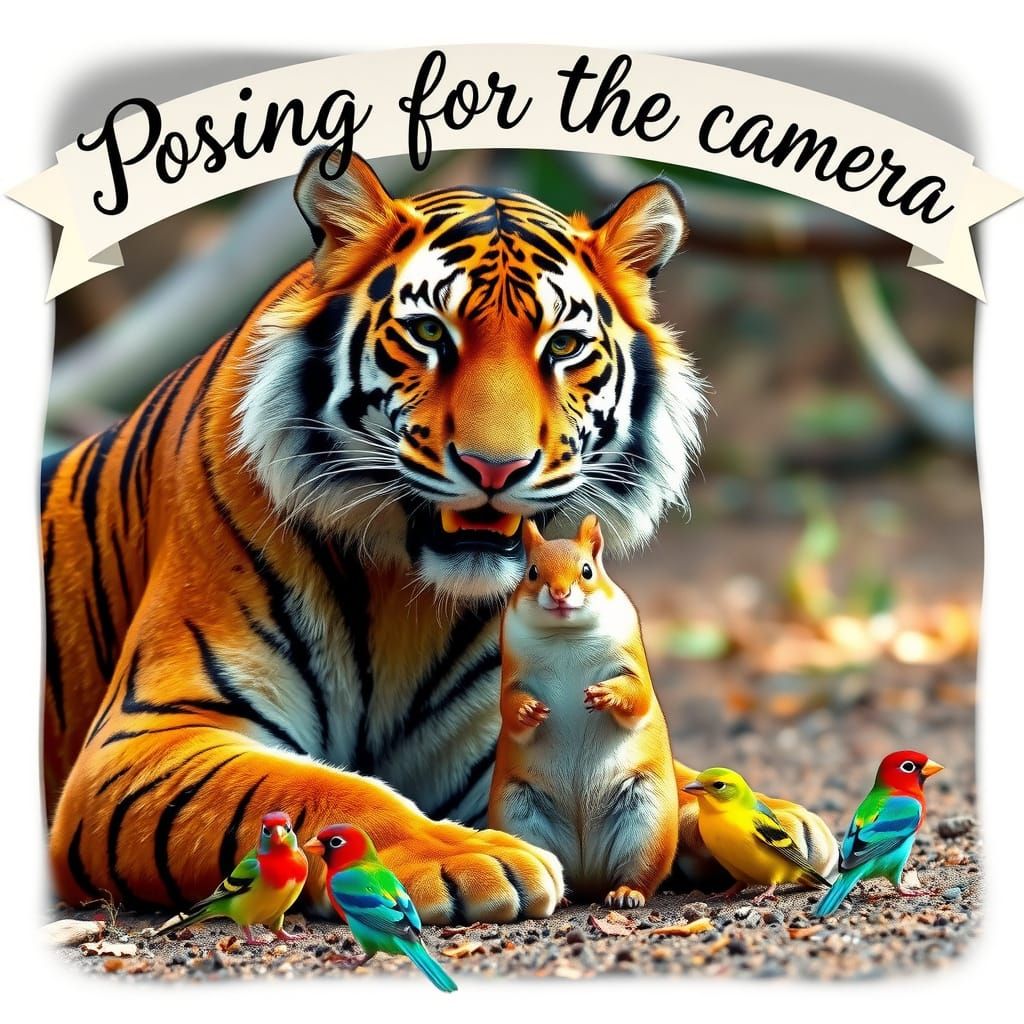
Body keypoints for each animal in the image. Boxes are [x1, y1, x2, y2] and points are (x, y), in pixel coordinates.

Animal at [488, 514, 678, 908]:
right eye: (531, 572)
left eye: (587, 570)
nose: (560, 594)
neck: (566, 636)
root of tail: (589, 875)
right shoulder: (512, 677)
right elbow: (509, 706)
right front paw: (529, 710)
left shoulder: (631, 664)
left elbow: (638, 695)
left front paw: (608, 696)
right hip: (518, 815)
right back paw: (560, 896)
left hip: (647, 822)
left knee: (641, 873)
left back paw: (626, 892)